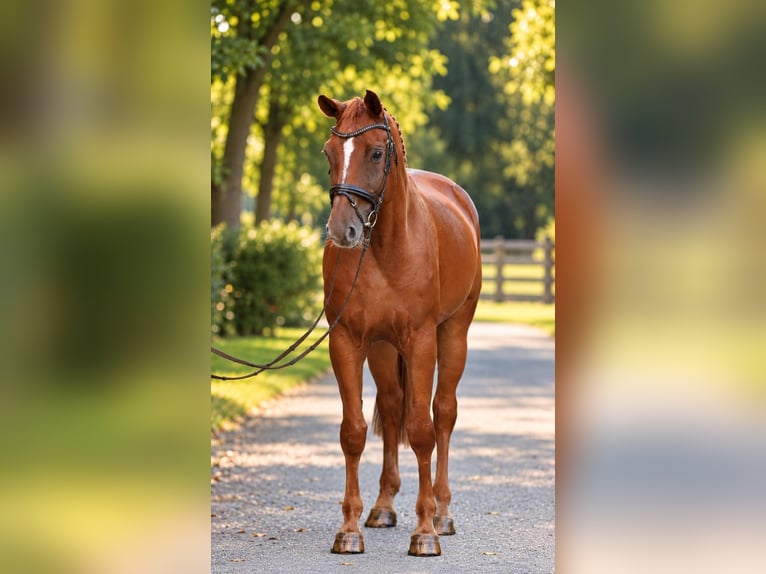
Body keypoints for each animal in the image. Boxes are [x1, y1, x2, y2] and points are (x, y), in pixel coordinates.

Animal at [317, 90, 482, 557]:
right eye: (329, 153)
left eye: (376, 152)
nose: (342, 230)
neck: (386, 249)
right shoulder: (348, 341)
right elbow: (354, 432)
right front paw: (349, 530)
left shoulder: (421, 340)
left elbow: (423, 430)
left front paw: (424, 533)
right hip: (382, 349)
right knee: (391, 410)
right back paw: (383, 507)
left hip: (453, 334)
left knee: (443, 413)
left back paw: (442, 514)